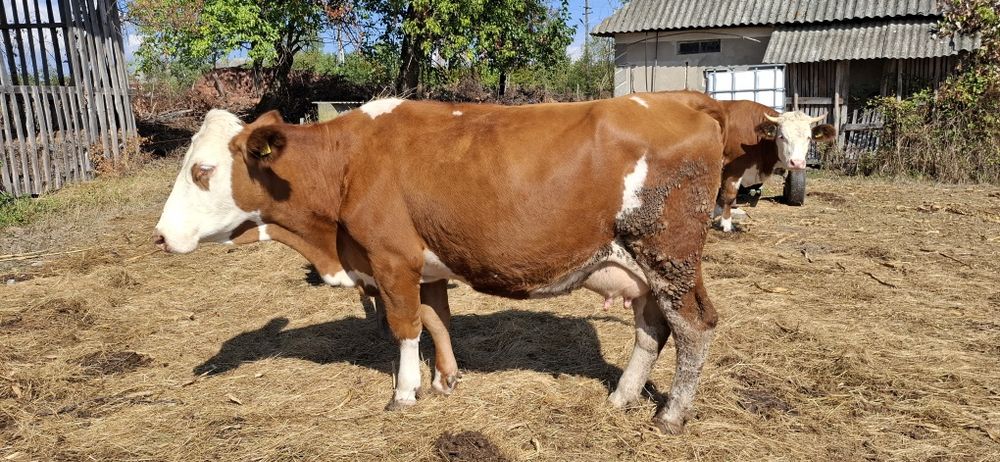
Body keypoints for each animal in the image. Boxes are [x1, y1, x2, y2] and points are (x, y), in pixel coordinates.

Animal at [154, 91, 726, 434]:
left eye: (202, 170)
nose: (160, 236)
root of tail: (684, 99)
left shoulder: (391, 259)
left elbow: (405, 327)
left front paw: (405, 393)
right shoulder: (424, 264)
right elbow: (437, 320)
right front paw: (445, 379)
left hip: (669, 257)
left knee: (694, 327)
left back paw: (671, 414)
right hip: (644, 268)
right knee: (652, 329)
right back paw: (623, 397)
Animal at [714, 100, 836, 232]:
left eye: (808, 137)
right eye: (782, 136)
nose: (797, 163)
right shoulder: (733, 168)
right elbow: (728, 195)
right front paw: (726, 225)